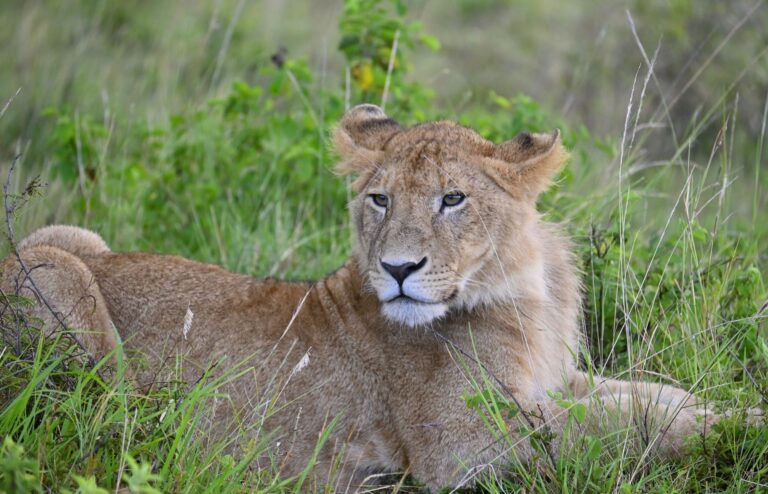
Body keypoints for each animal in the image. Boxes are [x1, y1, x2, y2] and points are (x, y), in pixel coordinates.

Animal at [1, 104, 747, 492]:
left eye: (453, 199)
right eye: (380, 199)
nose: (398, 268)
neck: (526, 290)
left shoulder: (552, 382)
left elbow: (650, 396)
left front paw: (722, 409)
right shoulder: (465, 450)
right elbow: (620, 428)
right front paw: (735, 429)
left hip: (66, 236)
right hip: (51, 271)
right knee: (108, 421)